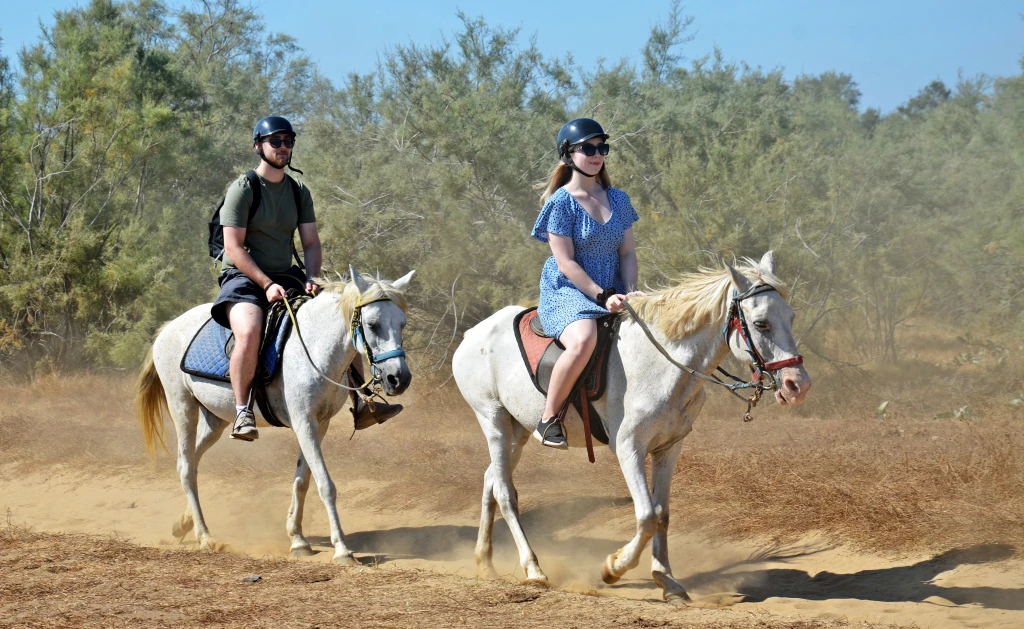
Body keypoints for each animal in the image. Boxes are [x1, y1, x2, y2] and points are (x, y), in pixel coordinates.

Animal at [136, 266, 414, 564]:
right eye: (372, 325)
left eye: (402, 324)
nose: (399, 379)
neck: (314, 347)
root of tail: (167, 328)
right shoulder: (304, 422)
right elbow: (325, 484)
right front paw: (341, 549)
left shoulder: (319, 424)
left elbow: (302, 480)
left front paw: (298, 540)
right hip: (183, 407)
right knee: (187, 467)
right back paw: (205, 537)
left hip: (215, 421)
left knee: (190, 461)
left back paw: (183, 523)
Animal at [452, 252, 811, 603]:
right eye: (761, 323)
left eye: (791, 317)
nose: (798, 385)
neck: (663, 363)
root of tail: (472, 335)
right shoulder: (629, 448)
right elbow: (647, 516)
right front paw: (613, 568)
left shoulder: (669, 448)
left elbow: (662, 514)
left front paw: (667, 581)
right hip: (494, 420)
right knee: (505, 492)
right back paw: (534, 569)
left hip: (518, 431)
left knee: (491, 479)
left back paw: (485, 562)